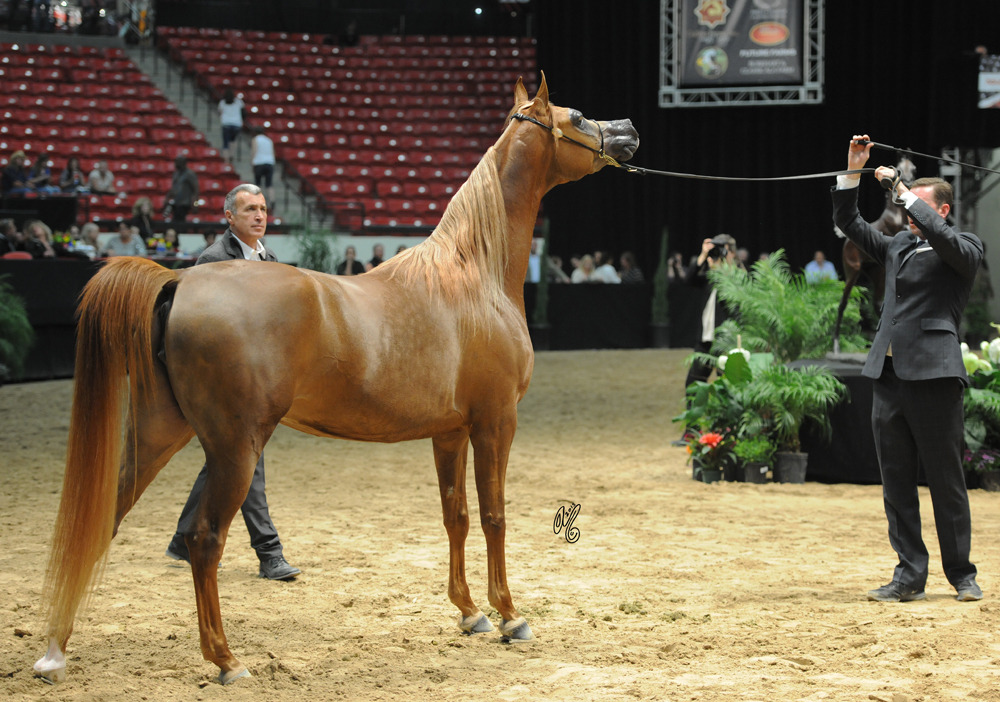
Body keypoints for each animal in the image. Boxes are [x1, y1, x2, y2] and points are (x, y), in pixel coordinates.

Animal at [33, 77, 640, 688]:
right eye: (577, 117)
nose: (629, 130)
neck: (474, 276)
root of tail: (180, 280)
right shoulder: (496, 422)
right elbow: (494, 517)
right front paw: (511, 616)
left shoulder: (450, 432)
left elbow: (457, 517)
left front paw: (470, 613)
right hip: (234, 449)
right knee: (204, 541)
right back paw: (227, 661)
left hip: (162, 431)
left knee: (101, 520)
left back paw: (55, 652)